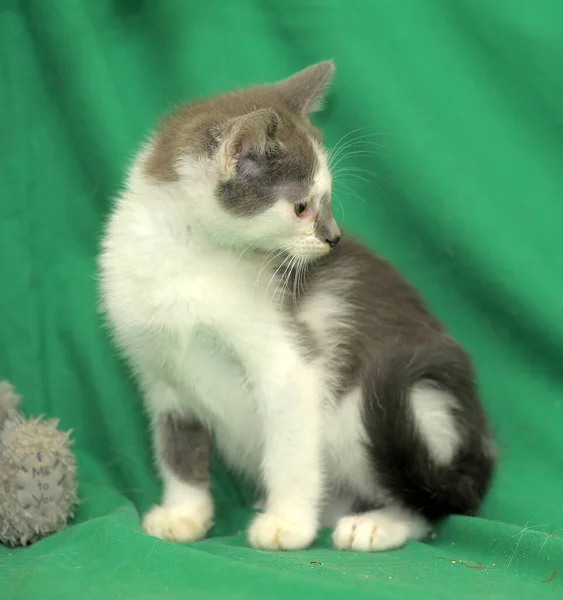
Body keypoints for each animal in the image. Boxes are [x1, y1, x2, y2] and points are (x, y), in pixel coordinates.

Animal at [99, 62, 496, 552]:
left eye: (326, 201)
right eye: (302, 207)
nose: (334, 238)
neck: (190, 259)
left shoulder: (291, 364)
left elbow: (290, 449)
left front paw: (286, 522)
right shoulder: (161, 378)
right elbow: (177, 450)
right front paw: (184, 513)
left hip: (388, 407)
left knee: (429, 503)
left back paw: (377, 524)